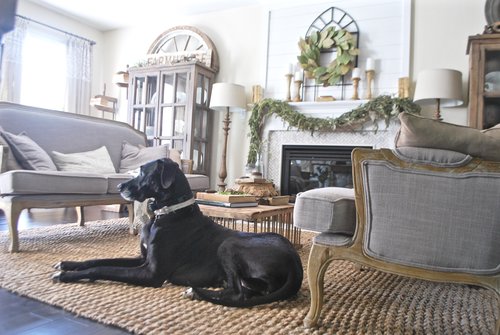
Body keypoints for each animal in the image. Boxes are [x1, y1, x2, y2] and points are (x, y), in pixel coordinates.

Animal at [54, 159, 304, 308]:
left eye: (142, 171)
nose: (118, 187)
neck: (166, 213)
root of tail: (296, 264)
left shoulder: (152, 273)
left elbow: (104, 269)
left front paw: (67, 276)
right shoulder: (142, 259)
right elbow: (100, 260)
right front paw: (67, 264)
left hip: (229, 244)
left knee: (238, 294)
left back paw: (196, 292)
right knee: (244, 290)